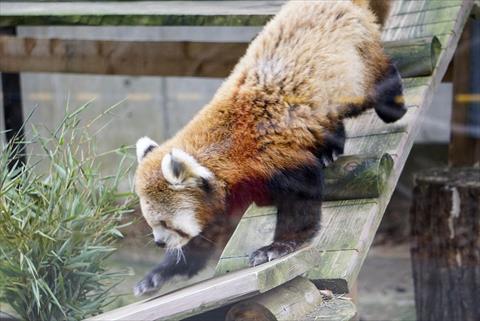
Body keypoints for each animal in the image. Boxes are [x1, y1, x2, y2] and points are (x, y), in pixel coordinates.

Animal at [132, 0, 404, 296]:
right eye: (153, 223)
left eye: (165, 224)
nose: (159, 242)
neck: (227, 148)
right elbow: (205, 237)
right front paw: (158, 274)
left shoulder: (274, 156)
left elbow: (300, 200)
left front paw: (279, 246)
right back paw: (330, 147)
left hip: (354, 67)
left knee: (375, 83)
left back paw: (394, 105)